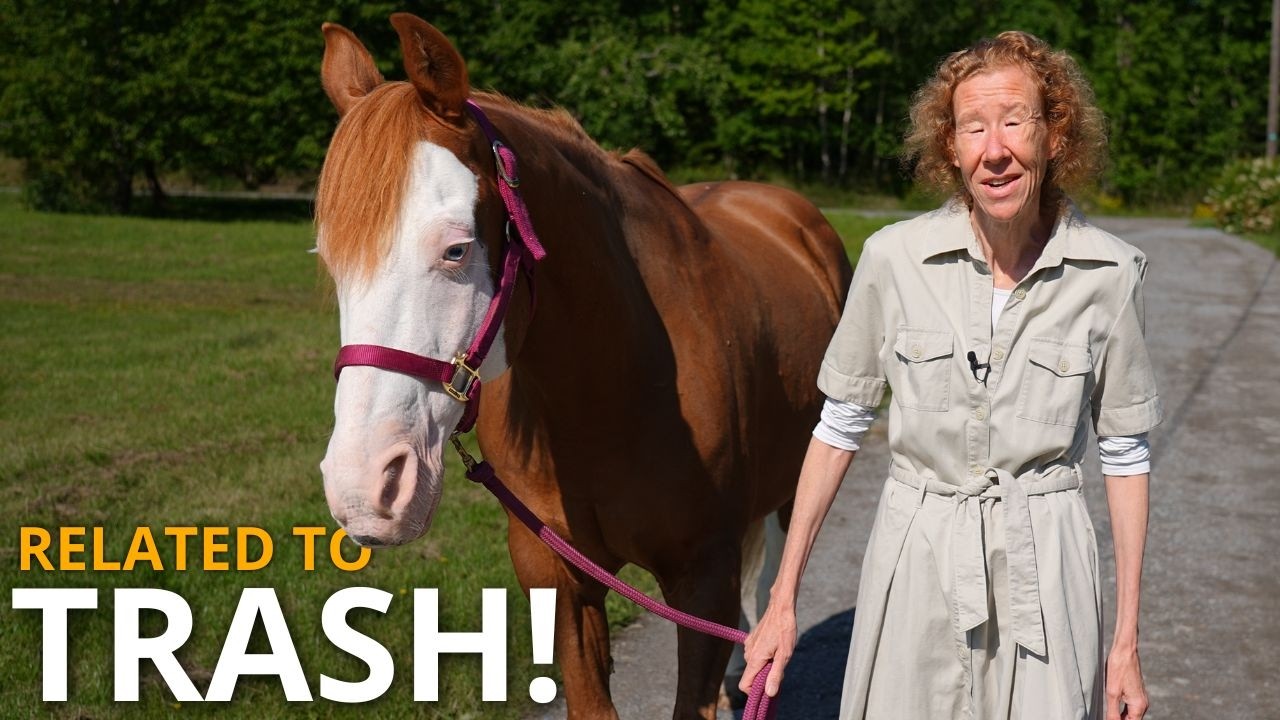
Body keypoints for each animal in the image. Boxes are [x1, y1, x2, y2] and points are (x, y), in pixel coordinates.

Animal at [315, 13, 852, 719]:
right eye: (329, 258)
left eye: (456, 249)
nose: (364, 489)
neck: (610, 389)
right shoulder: (559, 581)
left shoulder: (701, 578)